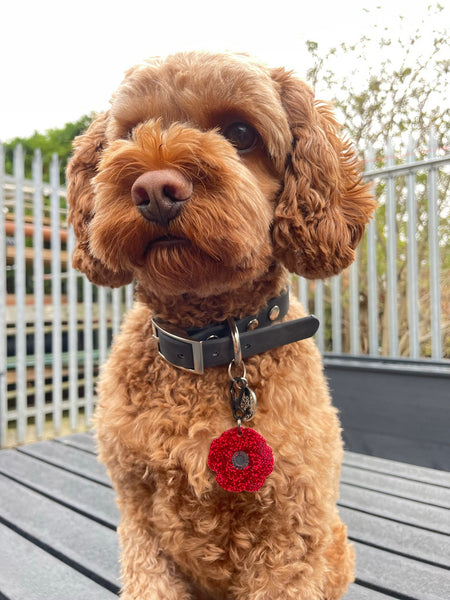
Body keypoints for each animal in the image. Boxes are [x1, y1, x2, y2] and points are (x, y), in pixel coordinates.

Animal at [67, 52, 374, 600]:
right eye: (131, 132)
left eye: (240, 133)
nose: (154, 189)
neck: (211, 341)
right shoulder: (140, 522)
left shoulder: (288, 537)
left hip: (335, 544)